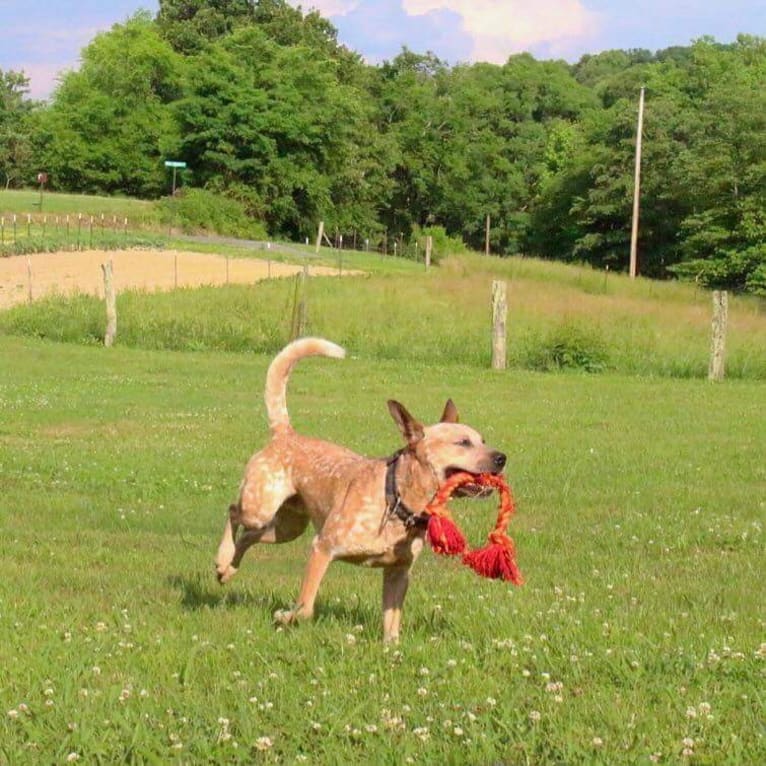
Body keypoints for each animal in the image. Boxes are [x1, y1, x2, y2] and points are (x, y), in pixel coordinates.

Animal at [213, 340, 508, 644]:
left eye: (482, 440)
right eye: (463, 443)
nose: (502, 458)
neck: (397, 500)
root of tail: (286, 434)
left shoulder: (398, 572)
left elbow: (392, 623)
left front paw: (391, 648)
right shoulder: (322, 547)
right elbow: (305, 607)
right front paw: (285, 616)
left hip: (288, 527)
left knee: (249, 536)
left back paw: (227, 570)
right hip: (260, 506)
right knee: (233, 512)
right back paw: (222, 558)